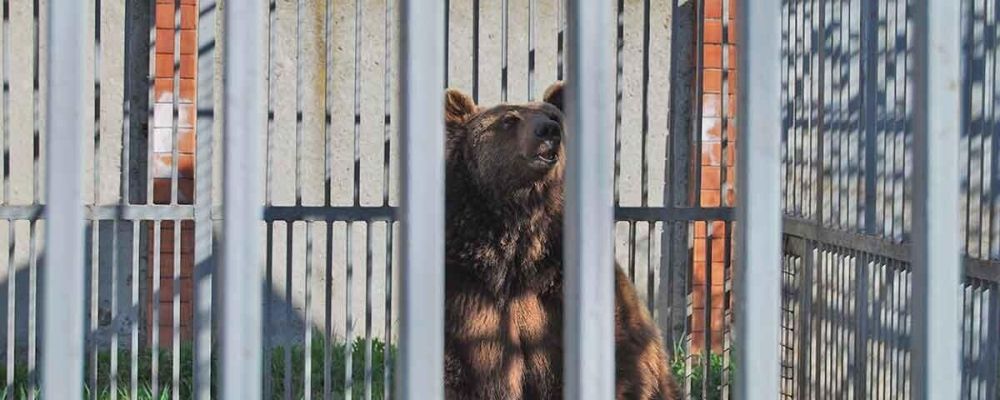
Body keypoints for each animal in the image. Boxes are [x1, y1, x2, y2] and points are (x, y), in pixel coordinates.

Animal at [444, 82, 680, 400]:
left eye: (553, 116)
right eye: (509, 120)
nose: (548, 130)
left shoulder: (563, 288)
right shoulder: (469, 294)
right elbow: (465, 372)